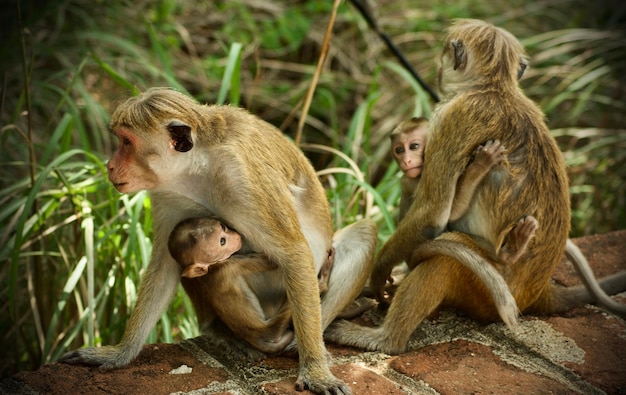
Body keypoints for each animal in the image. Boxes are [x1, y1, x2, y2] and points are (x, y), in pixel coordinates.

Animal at [61, 88, 376, 394]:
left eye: (126, 142)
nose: (110, 166)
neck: (199, 168)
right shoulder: (167, 193)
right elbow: (165, 262)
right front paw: (120, 353)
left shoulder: (243, 180)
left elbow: (294, 252)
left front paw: (315, 370)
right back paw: (223, 330)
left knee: (363, 235)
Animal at [324, 18, 624, 354]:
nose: (439, 70)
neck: (494, 87)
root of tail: (538, 293)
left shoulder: (450, 117)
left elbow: (432, 216)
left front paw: (379, 275)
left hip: (480, 291)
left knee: (442, 259)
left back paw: (386, 339)